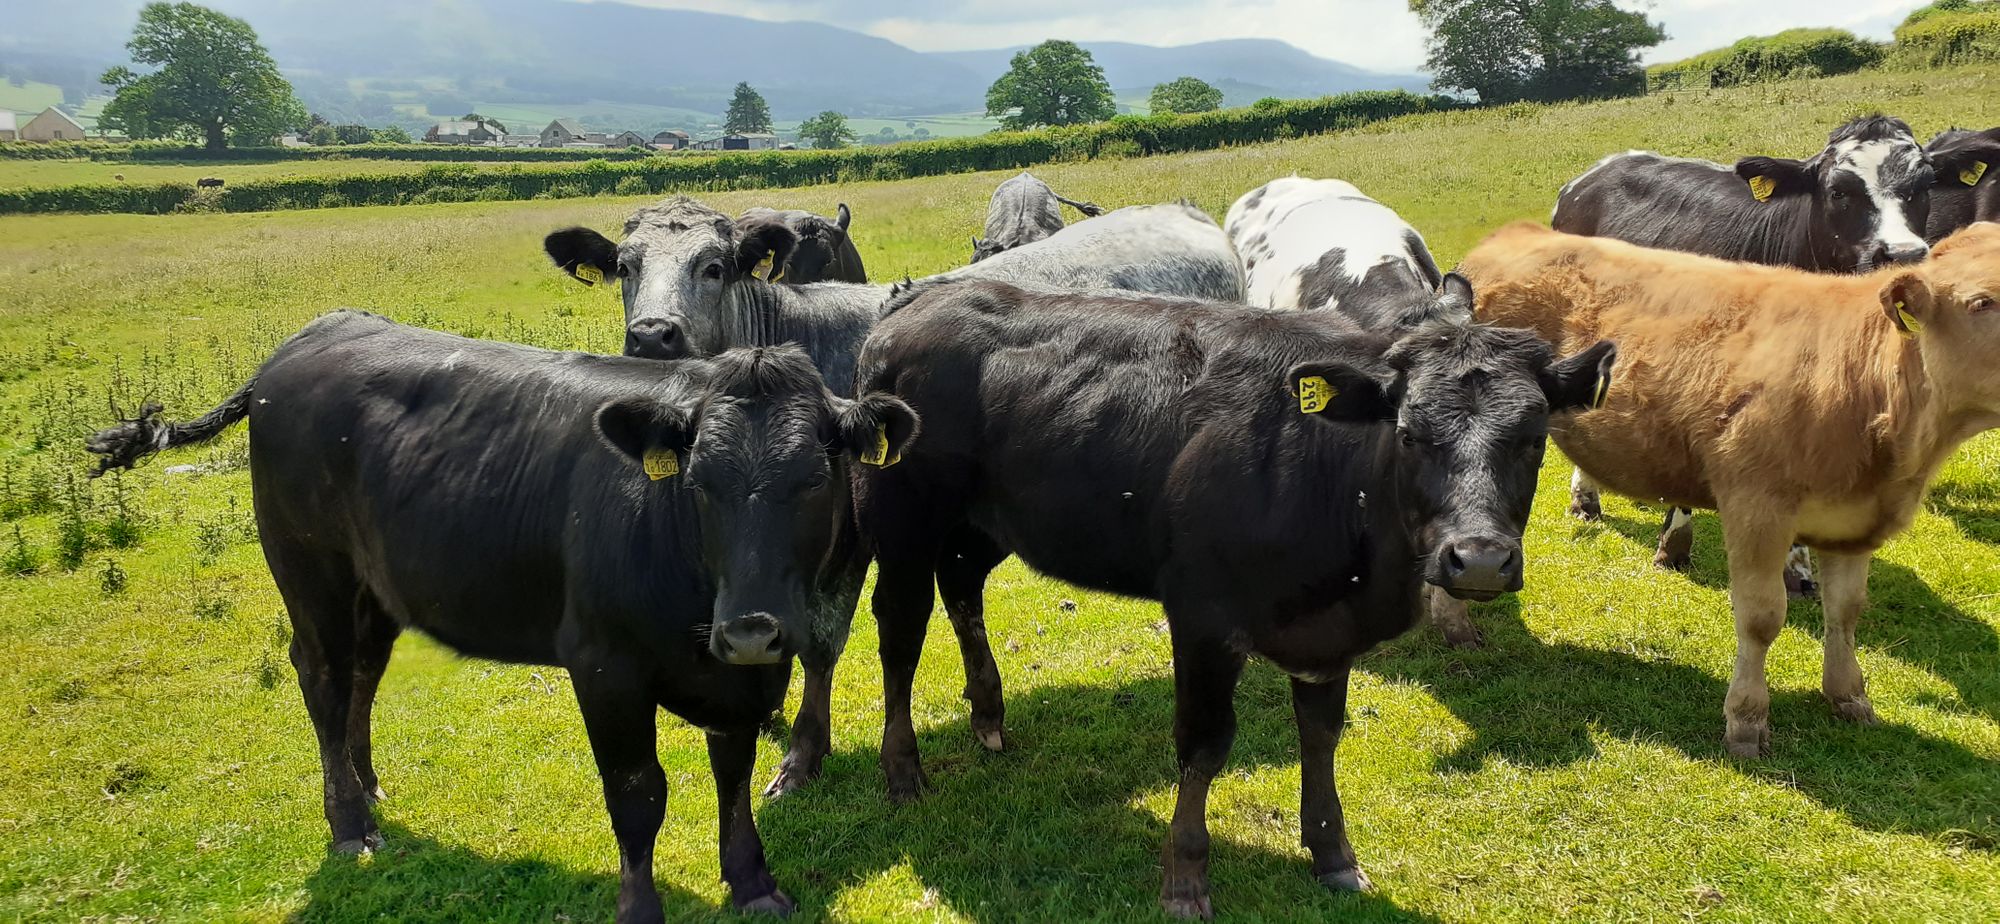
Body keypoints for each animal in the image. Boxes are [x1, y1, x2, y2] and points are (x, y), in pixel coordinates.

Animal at [84, 312, 920, 922]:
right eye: (699, 481)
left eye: (814, 477)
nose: (749, 628)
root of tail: (306, 339)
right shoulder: (604, 666)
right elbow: (638, 796)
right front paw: (639, 906)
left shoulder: (742, 677)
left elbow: (733, 775)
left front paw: (752, 883)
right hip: (309, 570)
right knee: (322, 679)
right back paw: (348, 823)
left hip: (376, 586)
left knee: (362, 676)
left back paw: (370, 786)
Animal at [852, 277, 1615, 917]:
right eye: (1408, 433)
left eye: (1533, 437)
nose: (1479, 558)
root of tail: (921, 297)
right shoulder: (1203, 618)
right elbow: (1204, 744)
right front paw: (1185, 878)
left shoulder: (1326, 632)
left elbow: (1322, 734)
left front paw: (1333, 853)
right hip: (901, 515)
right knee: (901, 629)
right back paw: (902, 770)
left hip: (985, 521)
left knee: (962, 588)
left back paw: (988, 715)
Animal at [1462, 221, 2000, 759]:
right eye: (1981, 302)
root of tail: (1516, 233)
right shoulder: (1756, 509)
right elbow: (1761, 618)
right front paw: (1746, 720)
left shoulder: (1853, 522)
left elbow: (1846, 612)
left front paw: (1848, 695)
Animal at [1551, 115, 1937, 595]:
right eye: (1838, 191)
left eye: (1926, 184)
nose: (1904, 255)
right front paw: (1673, 548)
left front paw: (1797, 569)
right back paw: (1586, 499)